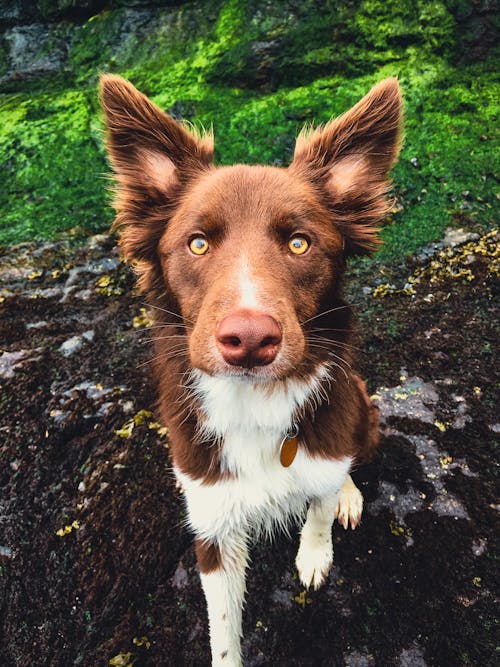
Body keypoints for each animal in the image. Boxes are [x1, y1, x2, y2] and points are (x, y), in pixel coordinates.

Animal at [100, 74, 402, 667]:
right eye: (197, 243)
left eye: (299, 242)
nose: (250, 340)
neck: (257, 404)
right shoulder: (211, 519)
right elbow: (224, 629)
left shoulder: (322, 453)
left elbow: (317, 505)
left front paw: (316, 551)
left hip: (361, 406)